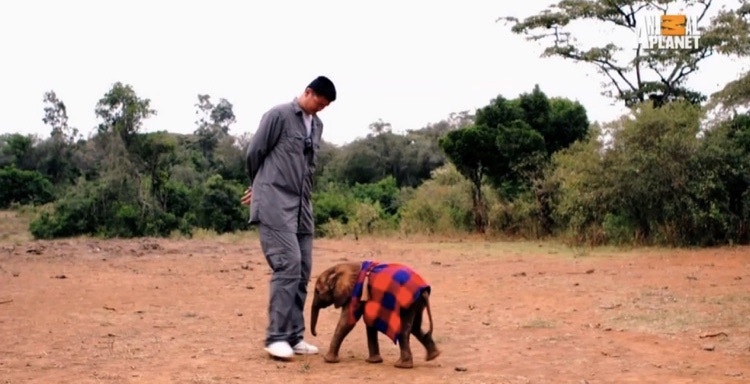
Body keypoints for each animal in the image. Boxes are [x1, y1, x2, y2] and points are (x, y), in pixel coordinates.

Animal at [310, 260, 440, 368]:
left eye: (317, 291)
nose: (315, 334)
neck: (340, 268)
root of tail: (424, 291)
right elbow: (370, 322)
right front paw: (374, 361)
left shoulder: (355, 293)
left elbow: (348, 321)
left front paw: (328, 360)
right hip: (417, 304)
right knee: (415, 328)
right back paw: (433, 356)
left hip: (408, 305)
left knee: (404, 330)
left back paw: (402, 366)